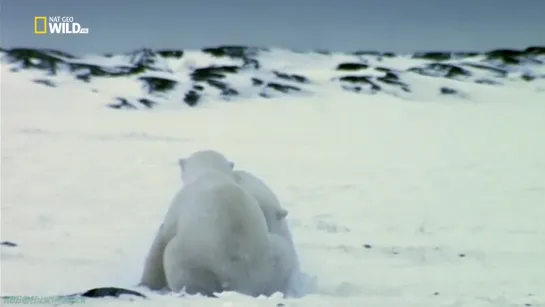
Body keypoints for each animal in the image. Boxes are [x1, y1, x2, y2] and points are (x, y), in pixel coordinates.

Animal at [138, 150, 296, 298]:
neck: (211, 171)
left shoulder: (179, 205)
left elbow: (162, 239)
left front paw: (146, 283)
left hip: (195, 260)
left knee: (178, 264)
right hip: (273, 259)